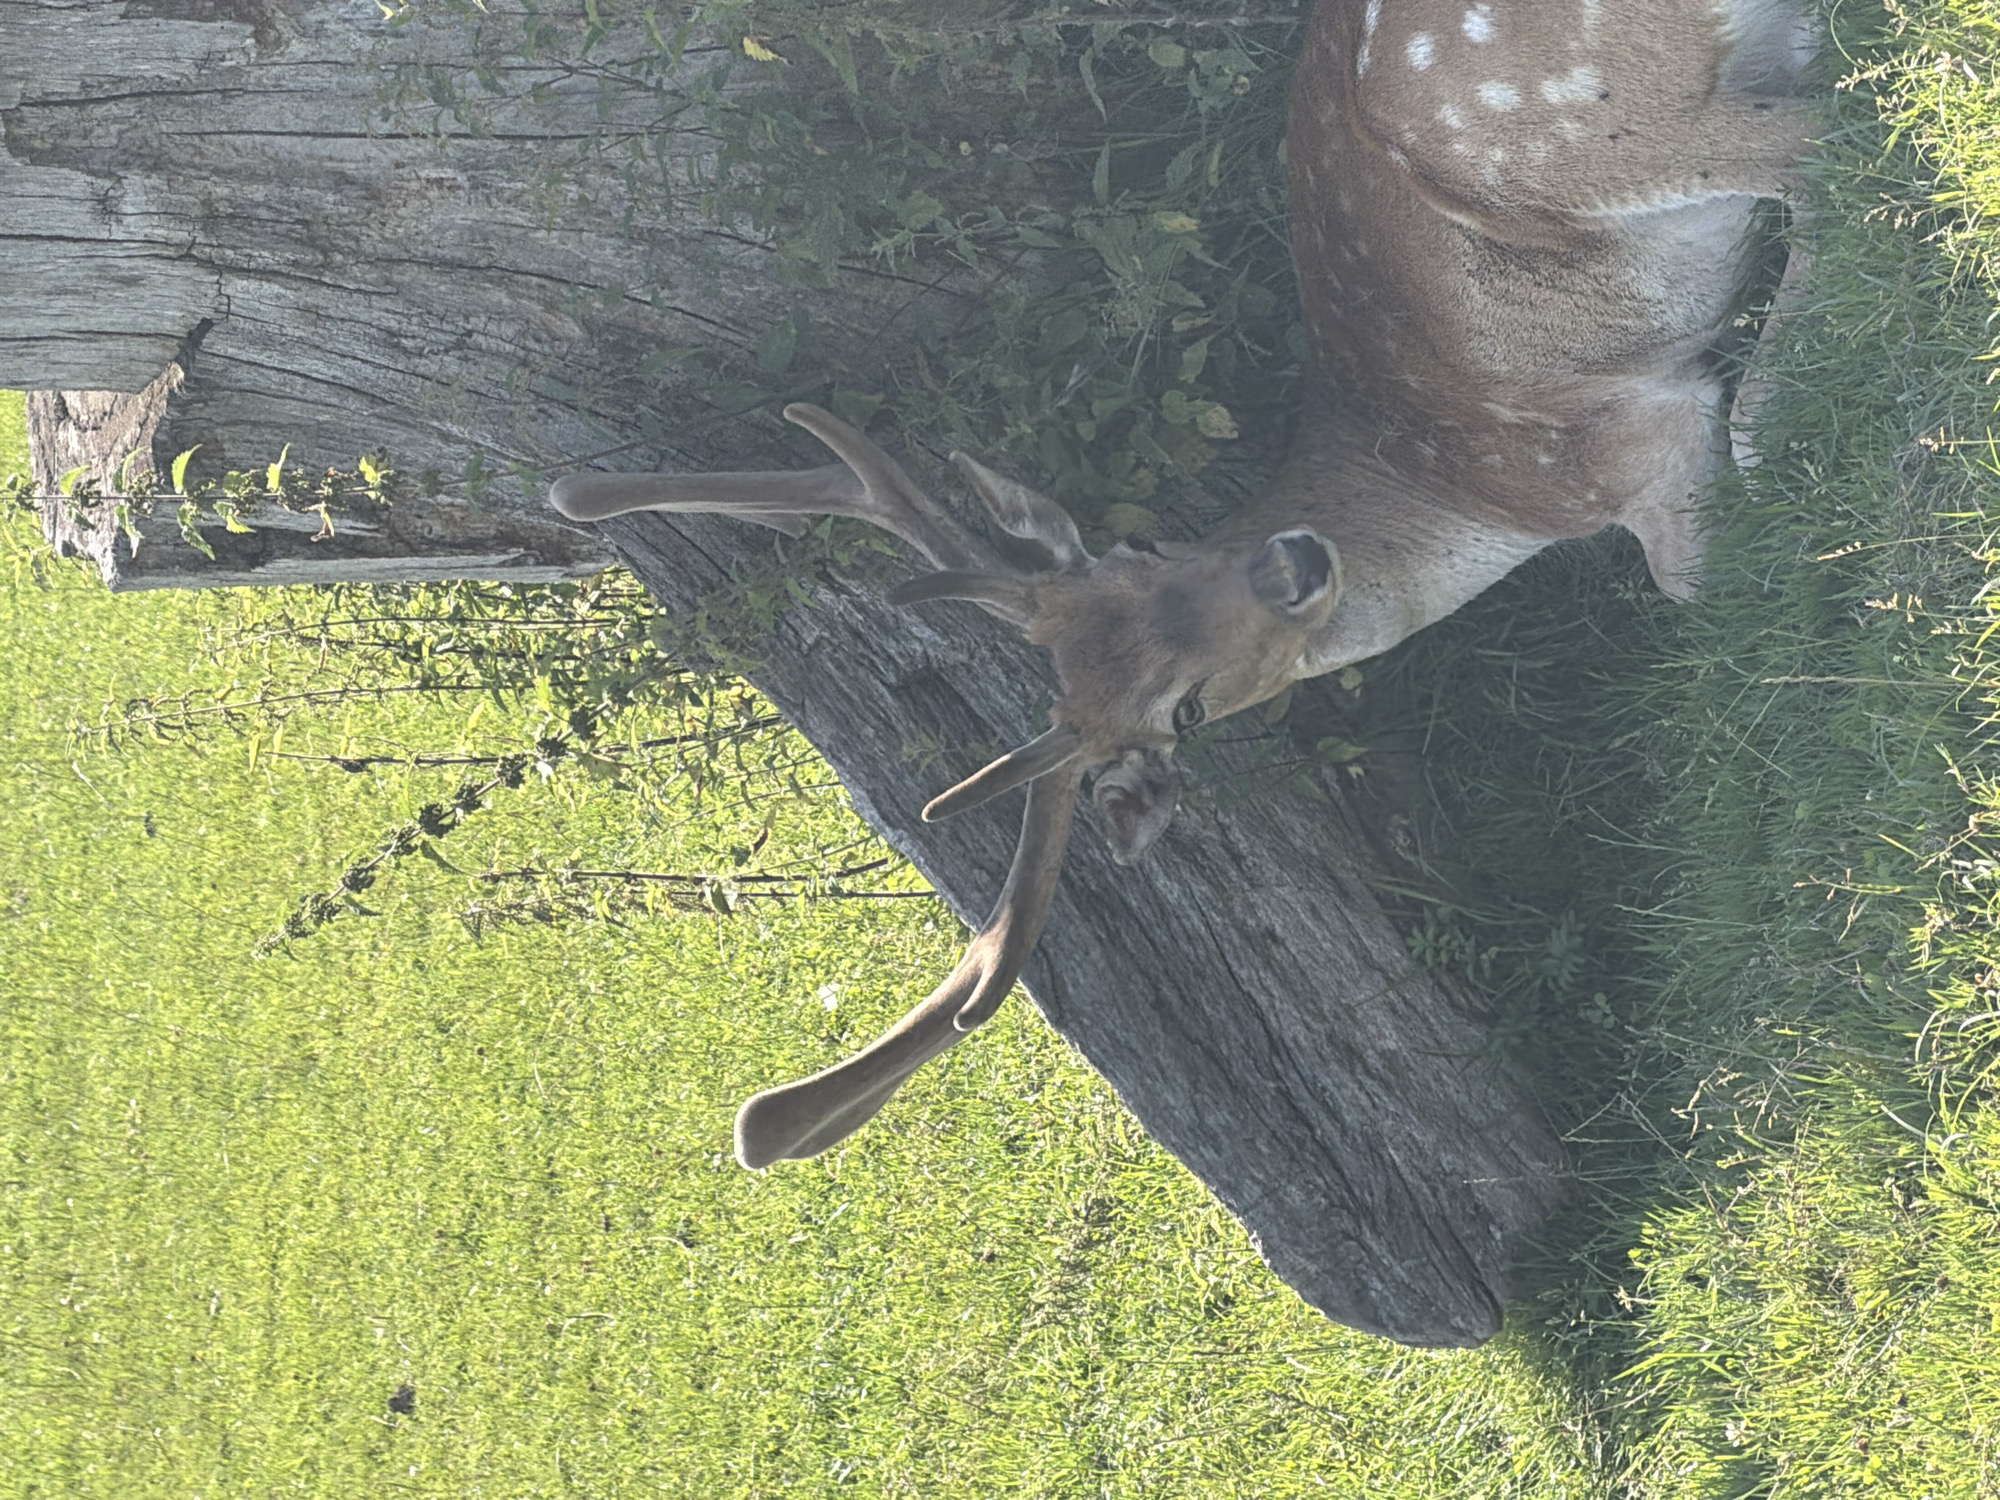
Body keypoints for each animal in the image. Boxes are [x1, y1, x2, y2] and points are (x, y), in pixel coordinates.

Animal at [549, 0, 1816, 1170]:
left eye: (1145, 549)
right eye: (1187, 714)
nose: (1288, 565)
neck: (1475, 503)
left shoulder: (1632, 445)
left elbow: (1726, 506)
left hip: (1581, 126)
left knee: (1804, 153)